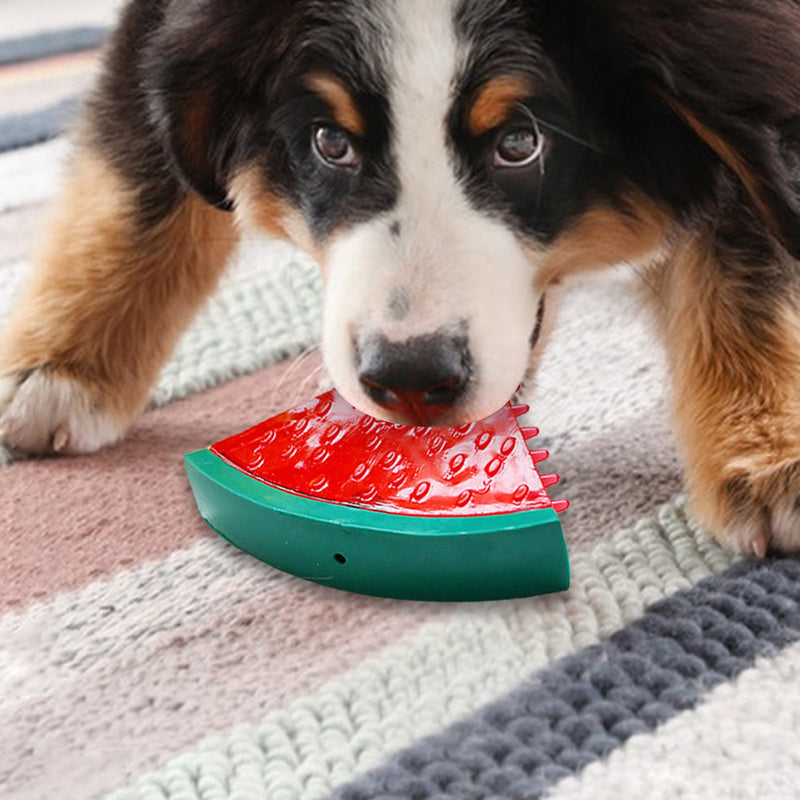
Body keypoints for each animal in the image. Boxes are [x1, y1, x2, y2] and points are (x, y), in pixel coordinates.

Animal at [1, 0, 800, 560]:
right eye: (331, 143)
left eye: (519, 143)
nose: (411, 379)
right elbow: (140, 171)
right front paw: (61, 363)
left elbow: (755, 237)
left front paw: (764, 447)